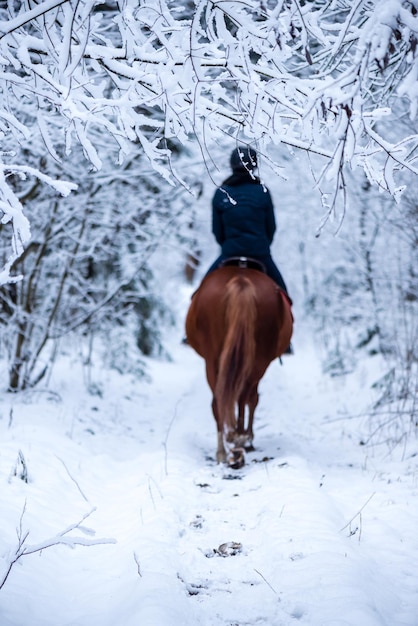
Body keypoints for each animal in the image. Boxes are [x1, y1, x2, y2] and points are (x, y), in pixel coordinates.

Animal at [185, 266, 292, 466]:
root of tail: (241, 280)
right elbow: (252, 399)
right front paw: (246, 436)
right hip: (258, 361)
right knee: (243, 396)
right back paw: (238, 440)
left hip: (215, 360)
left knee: (223, 398)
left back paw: (227, 446)